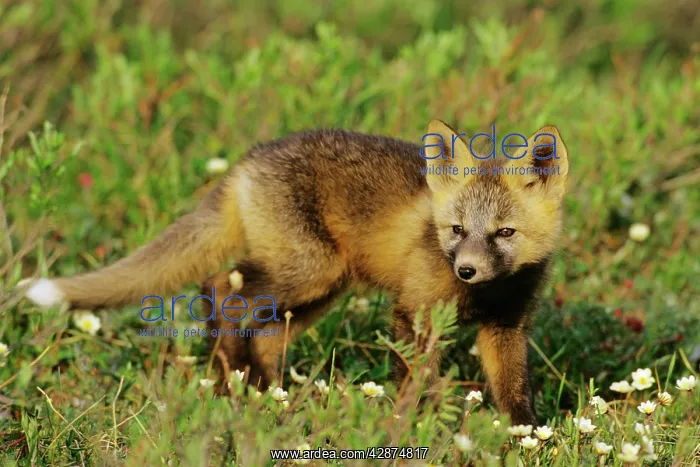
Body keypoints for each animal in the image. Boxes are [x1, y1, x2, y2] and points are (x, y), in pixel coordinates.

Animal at [21, 120, 569, 426]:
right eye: (456, 229)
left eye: (504, 233)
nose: (467, 270)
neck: (487, 294)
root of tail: (249, 159)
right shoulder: (411, 311)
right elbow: (416, 383)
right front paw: (426, 428)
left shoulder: (506, 327)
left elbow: (516, 393)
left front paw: (522, 439)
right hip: (309, 273)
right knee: (218, 287)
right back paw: (231, 381)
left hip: (320, 289)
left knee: (263, 335)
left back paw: (269, 397)